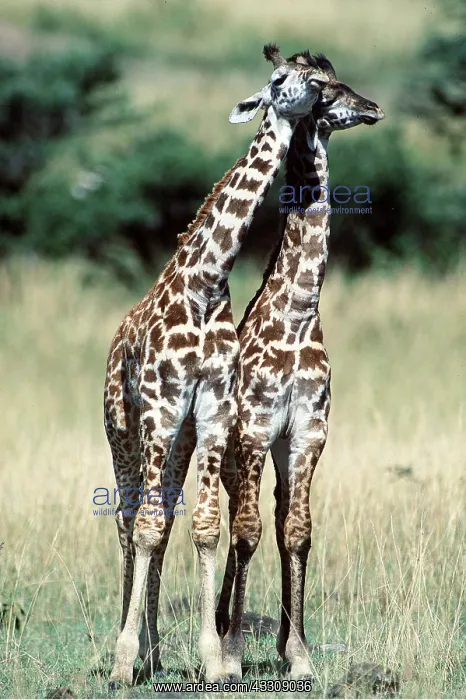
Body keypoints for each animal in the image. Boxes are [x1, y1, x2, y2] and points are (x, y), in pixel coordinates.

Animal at [104, 44, 330, 688]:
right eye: (279, 79)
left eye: (318, 77)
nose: (321, 91)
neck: (206, 283)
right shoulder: (161, 409)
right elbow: (147, 527)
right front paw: (123, 661)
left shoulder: (209, 415)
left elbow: (204, 527)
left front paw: (212, 660)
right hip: (124, 432)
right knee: (129, 522)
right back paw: (129, 650)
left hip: (177, 441)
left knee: (163, 518)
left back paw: (156, 653)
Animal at [220, 53, 384, 681]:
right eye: (323, 88)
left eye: (337, 79)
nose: (372, 106)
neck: (296, 317)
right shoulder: (253, 429)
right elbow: (245, 533)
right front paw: (233, 654)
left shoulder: (308, 433)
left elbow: (297, 533)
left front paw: (299, 653)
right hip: (228, 450)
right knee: (230, 519)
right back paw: (222, 625)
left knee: (270, 516)